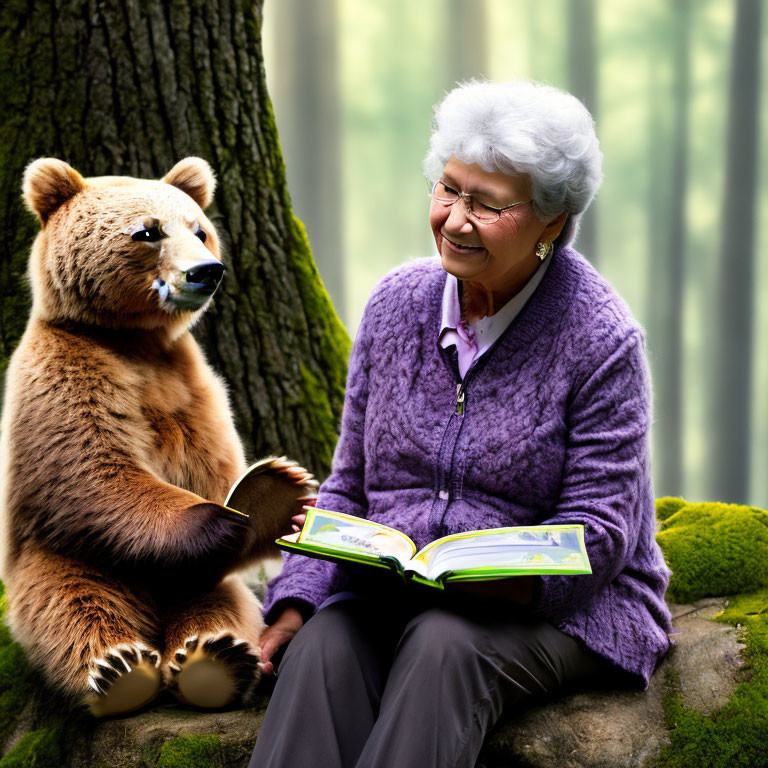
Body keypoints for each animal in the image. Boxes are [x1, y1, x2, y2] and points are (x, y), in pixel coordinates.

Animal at [0, 158, 316, 720]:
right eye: (148, 232)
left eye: (199, 229)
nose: (206, 271)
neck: (136, 341)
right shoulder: (66, 372)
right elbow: (96, 471)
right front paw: (232, 516)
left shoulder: (192, 385)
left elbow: (215, 465)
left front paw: (271, 492)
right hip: (61, 562)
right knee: (74, 607)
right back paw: (120, 669)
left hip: (197, 590)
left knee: (221, 601)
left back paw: (214, 657)